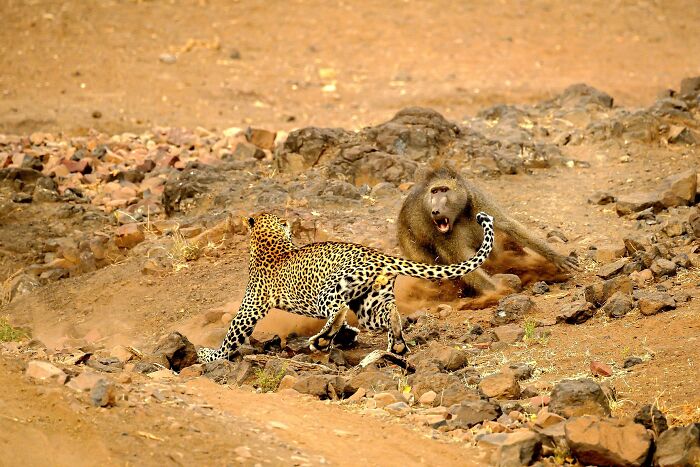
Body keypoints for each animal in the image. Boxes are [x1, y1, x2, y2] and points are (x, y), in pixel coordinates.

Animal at [196, 211, 495, 363]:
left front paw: (210, 355)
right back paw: (396, 344)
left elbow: (232, 335)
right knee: (387, 314)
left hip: (333, 288)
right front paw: (348, 336)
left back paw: (321, 340)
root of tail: (378, 255)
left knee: (337, 310)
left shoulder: (251, 307)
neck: (269, 238)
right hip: (370, 302)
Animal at [397, 166, 580, 296]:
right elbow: (462, 264)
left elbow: (509, 225)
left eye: (444, 190)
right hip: (408, 241)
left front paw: (557, 257)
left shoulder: (478, 201)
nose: (435, 211)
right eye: (434, 192)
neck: (460, 215)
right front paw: (499, 291)